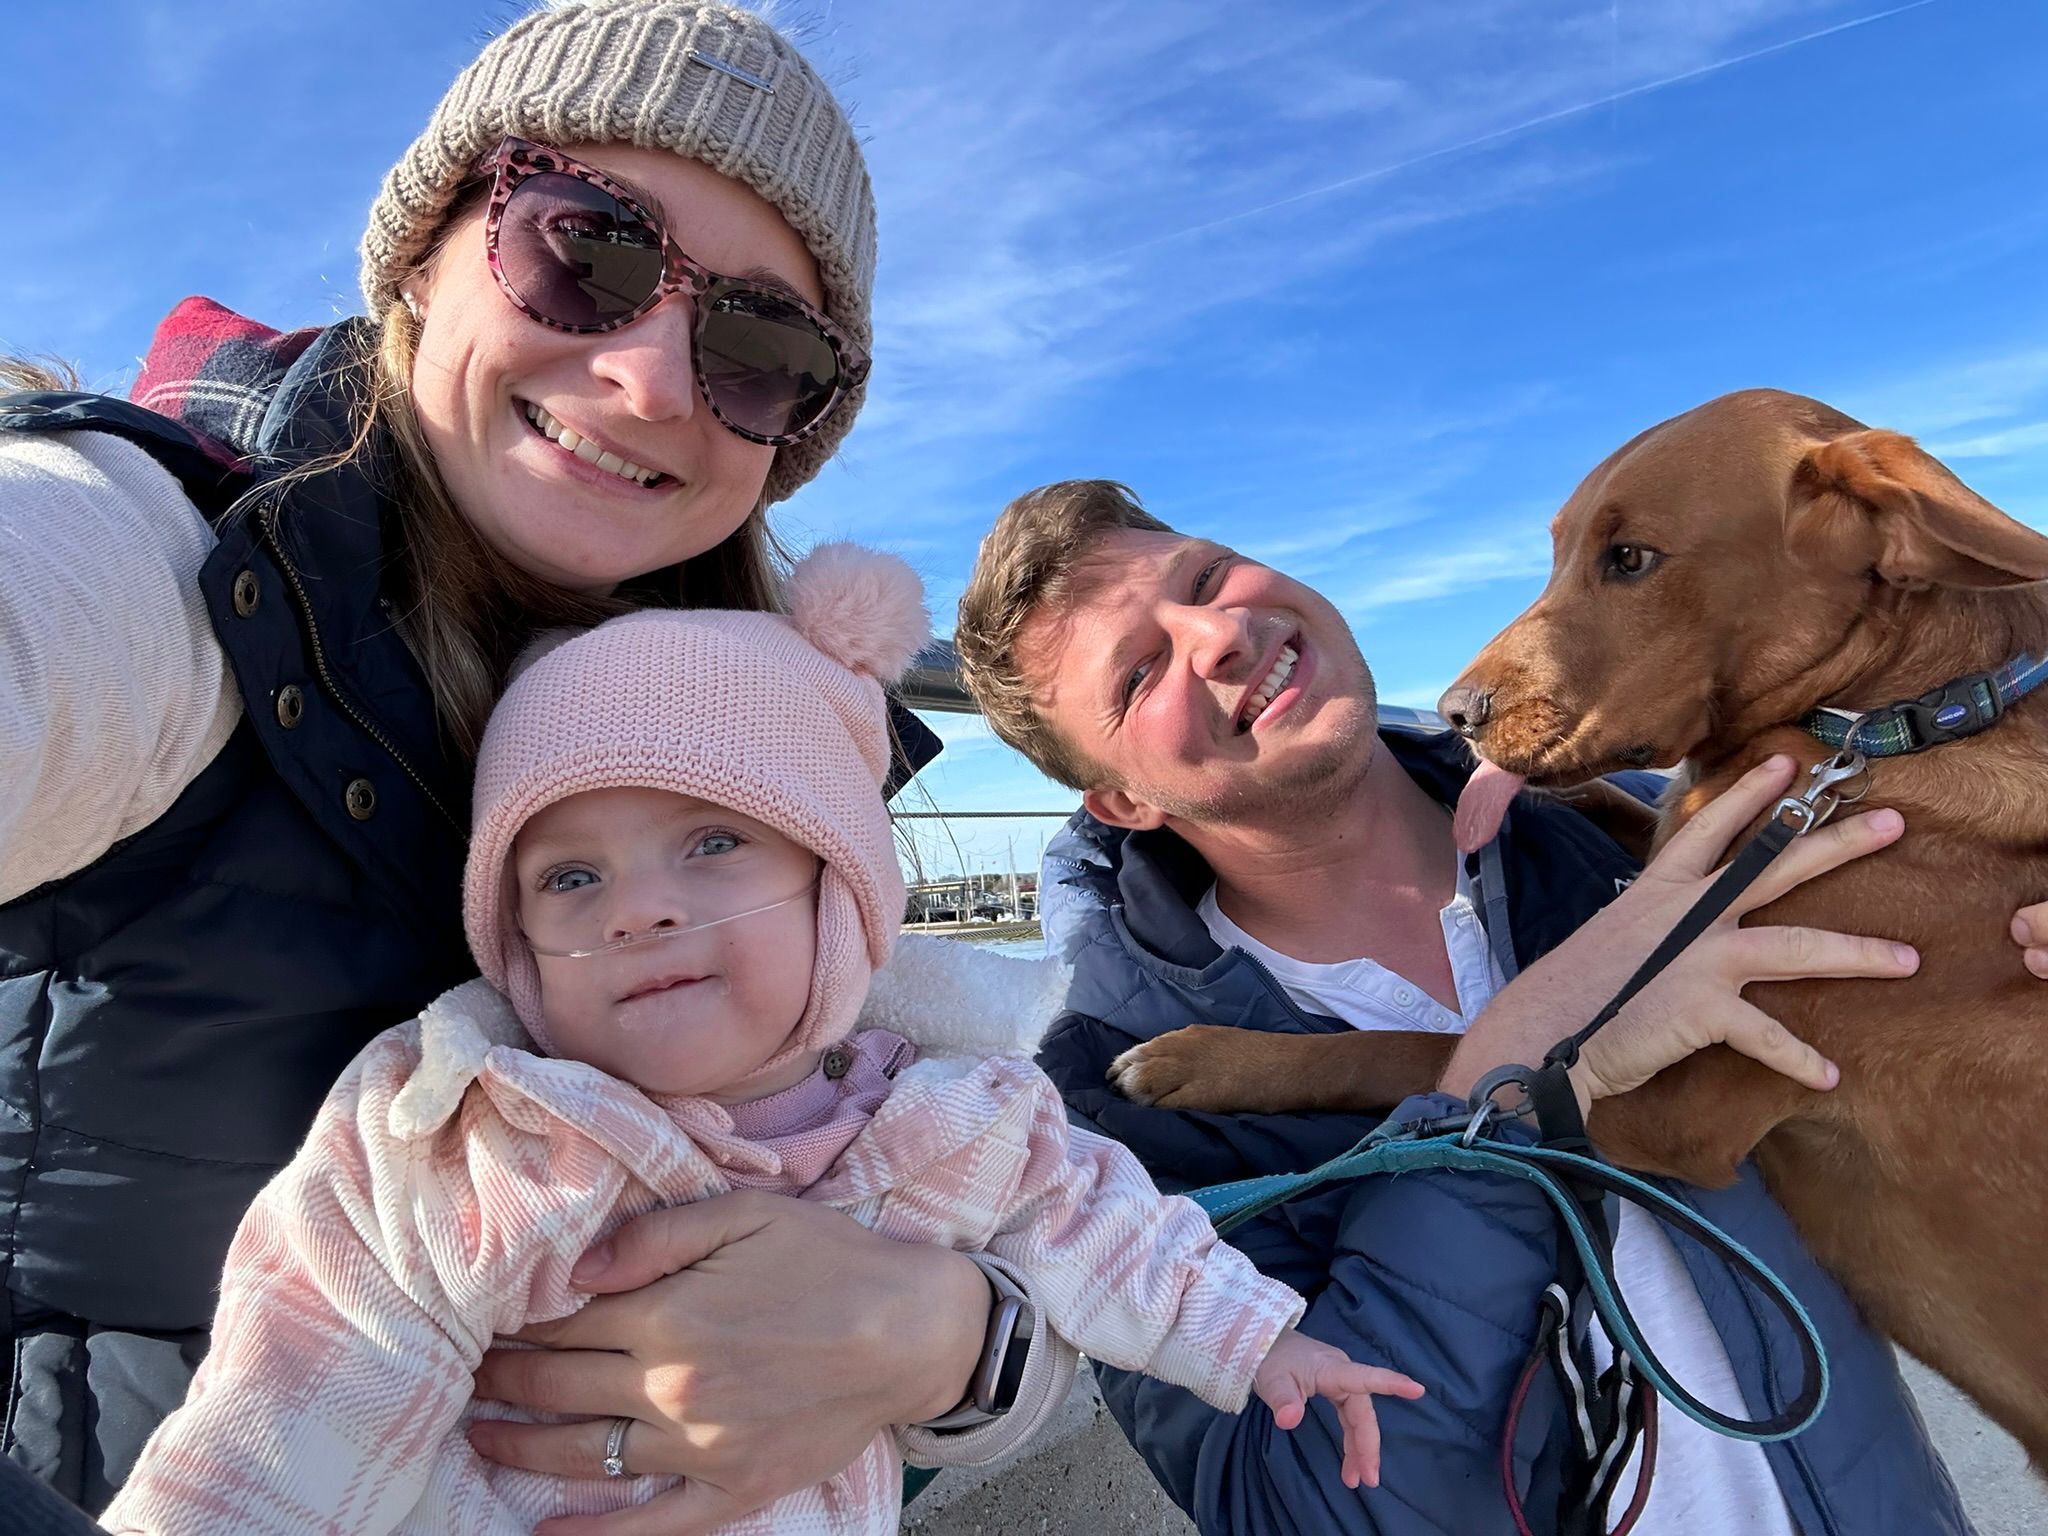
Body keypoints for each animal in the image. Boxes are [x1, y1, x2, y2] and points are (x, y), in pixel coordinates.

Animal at [1114, 387, 2048, 1466]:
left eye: (1630, 558)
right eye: (1556, 551)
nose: (1451, 713)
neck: (1880, 723)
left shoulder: (1675, 1111)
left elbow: (1409, 1053)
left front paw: (1204, 1057)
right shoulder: (1682, 830)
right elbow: (1619, 806)